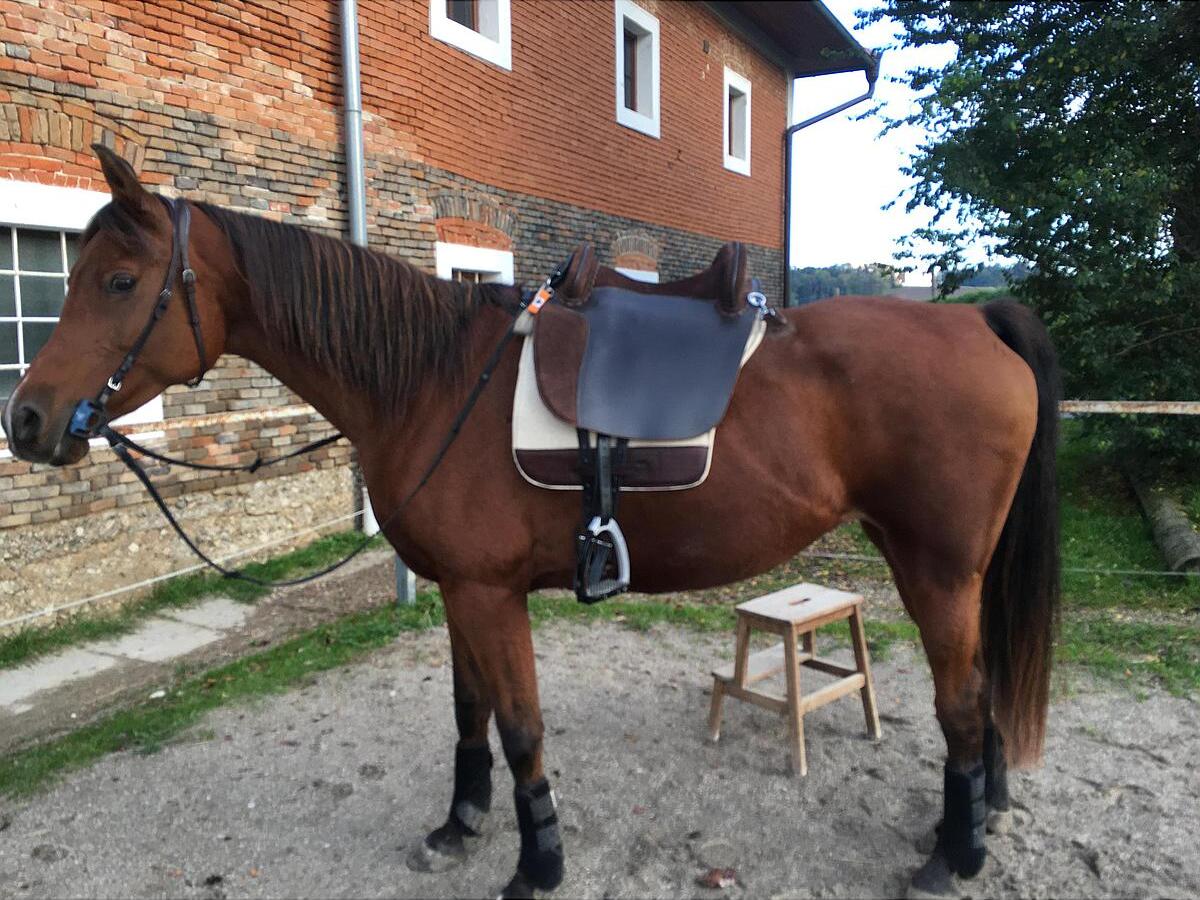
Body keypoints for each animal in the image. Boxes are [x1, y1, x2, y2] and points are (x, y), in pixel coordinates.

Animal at [2, 145, 1060, 899]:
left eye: (119, 283)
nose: (27, 421)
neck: (428, 380)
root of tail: (975, 320)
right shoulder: (458, 592)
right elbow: (468, 713)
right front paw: (460, 824)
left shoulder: (488, 594)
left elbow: (518, 726)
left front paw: (536, 863)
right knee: (979, 698)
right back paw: (980, 817)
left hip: (936, 569)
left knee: (963, 702)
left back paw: (953, 857)